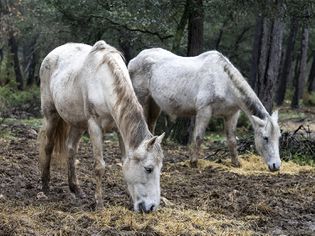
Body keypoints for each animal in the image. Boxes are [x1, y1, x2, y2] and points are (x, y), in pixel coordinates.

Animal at [39, 40, 165, 212]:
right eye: (148, 168)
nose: (151, 207)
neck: (104, 83)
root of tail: (52, 54)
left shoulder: (120, 131)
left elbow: (124, 161)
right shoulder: (95, 128)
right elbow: (99, 166)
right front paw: (99, 204)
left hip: (78, 124)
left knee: (71, 148)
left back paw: (75, 188)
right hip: (51, 114)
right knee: (48, 146)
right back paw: (45, 186)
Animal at [128, 48, 282, 171]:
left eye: (279, 137)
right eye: (266, 138)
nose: (276, 166)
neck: (224, 82)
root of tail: (135, 59)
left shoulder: (232, 115)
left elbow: (232, 140)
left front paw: (236, 163)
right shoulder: (204, 111)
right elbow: (198, 137)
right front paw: (193, 162)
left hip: (154, 104)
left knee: (151, 125)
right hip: (142, 99)